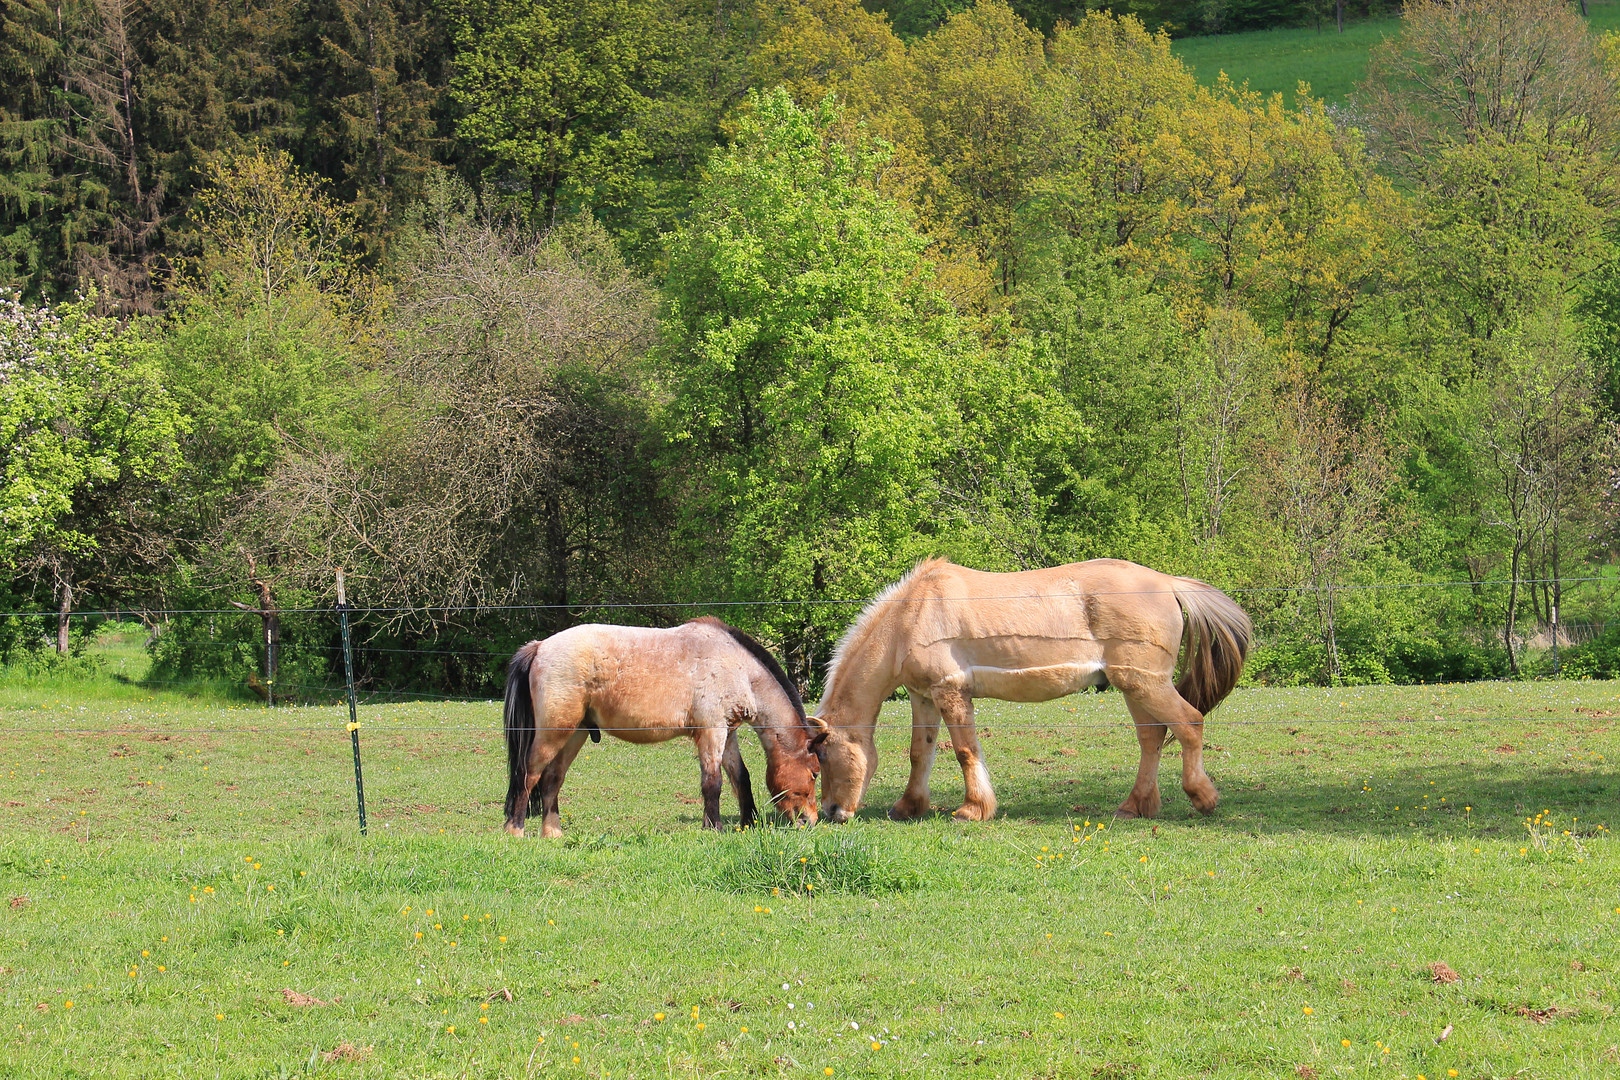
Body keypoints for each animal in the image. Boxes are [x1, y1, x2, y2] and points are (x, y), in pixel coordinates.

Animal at [498, 615, 816, 835]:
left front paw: (747, 822)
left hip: (574, 734)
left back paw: (552, 833)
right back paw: (516, 830)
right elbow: (713, 783)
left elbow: (741, 777)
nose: (810, 821)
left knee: (552, 779)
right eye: (814, 773)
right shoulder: (712, 731)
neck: (737, 666)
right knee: (528, 773)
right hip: (554, 732)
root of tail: (539, 647)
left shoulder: (728, 733)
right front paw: (714, 828)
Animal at [810, 563, 1250, 822]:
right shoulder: (923, 696)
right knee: (1152, 739)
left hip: (1146, 684)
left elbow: (965, 751)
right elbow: (921, 753)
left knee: (1190, 723)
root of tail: (1169, 583)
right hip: (1134, 686)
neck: (913, 615)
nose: (832, 811)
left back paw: (1203, 798)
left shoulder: (951, 692)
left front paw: (973, 809)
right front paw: (908, 806)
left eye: (822, 758)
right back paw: (1134, 805)